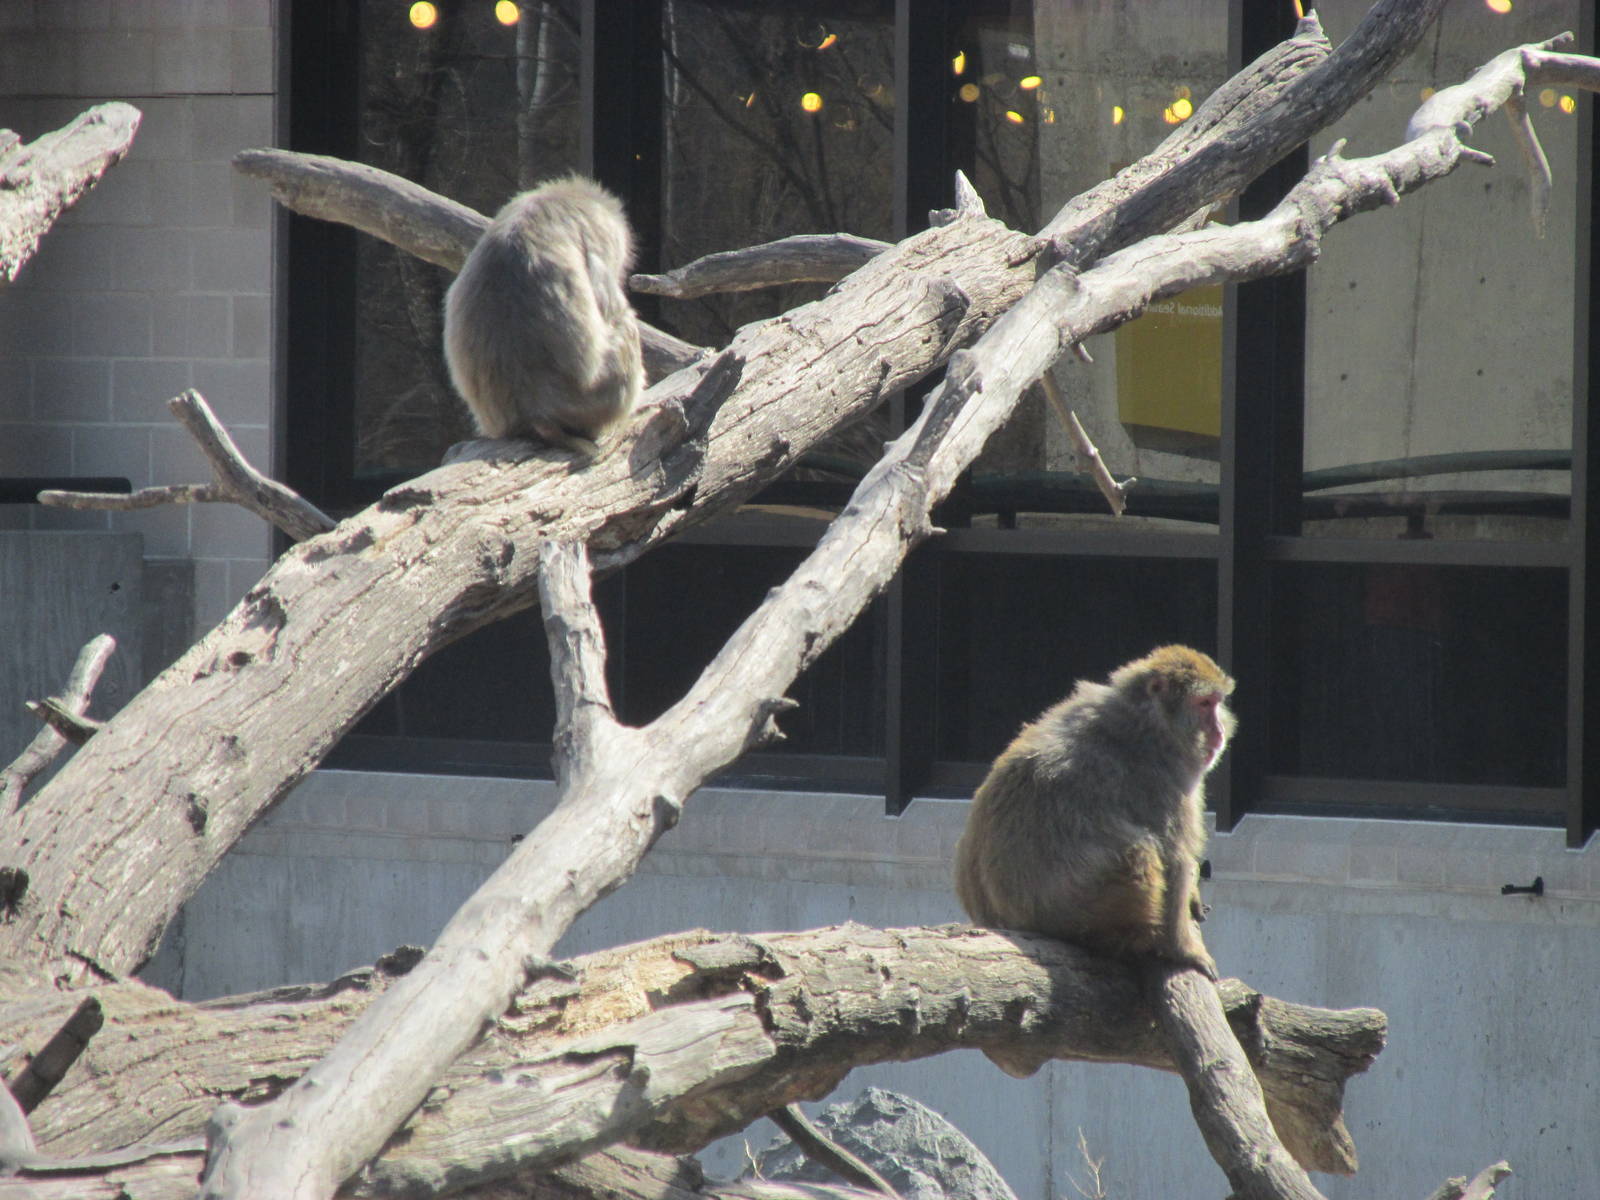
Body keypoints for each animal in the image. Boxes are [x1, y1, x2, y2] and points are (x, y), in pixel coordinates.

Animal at [952, 645, 1236, 982]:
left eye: (1217, 704)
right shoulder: (1162, 777)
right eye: (1204, 704)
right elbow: (1173, 859)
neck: (1147, 721)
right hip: (1078, 911)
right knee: (1140, 851)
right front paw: (1182, 950)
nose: (1219, 732)